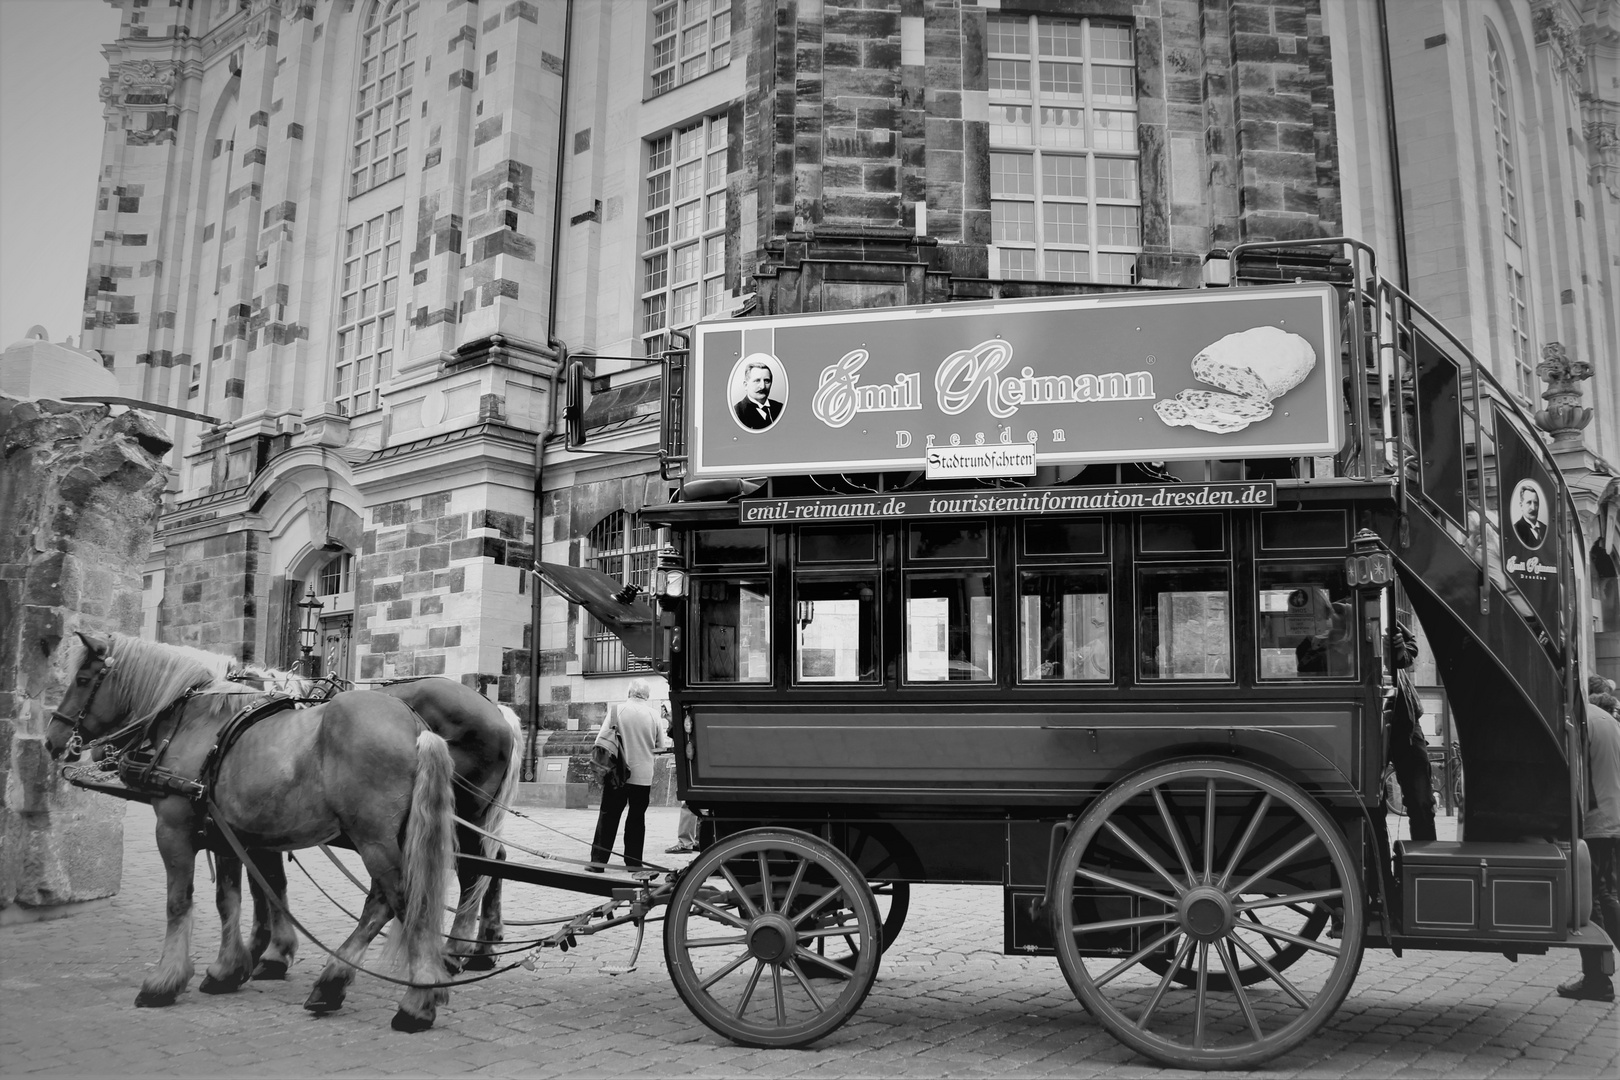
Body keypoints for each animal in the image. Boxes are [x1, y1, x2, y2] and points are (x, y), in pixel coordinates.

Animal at [44, 628, 508, 1036]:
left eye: (83, 679)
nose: (52, 739)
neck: (198, 723)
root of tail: (417, 728)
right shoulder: (228, 832)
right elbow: (237, 896)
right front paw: (232, 967)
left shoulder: (175, 826)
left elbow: (182, 902)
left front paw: (166, 980)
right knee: (398, 898)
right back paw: (337, 983)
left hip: (379, 836)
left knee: (415, 897)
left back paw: (421, 996)